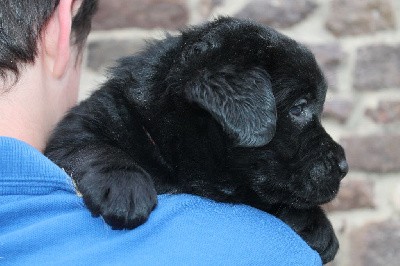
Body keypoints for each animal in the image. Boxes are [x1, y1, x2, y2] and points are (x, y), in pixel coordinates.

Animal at [46, 17, 346, 264]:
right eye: (299, 108)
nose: (344, 167)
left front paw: (316, 222)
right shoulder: (88, 119)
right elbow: (91, 145)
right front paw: (124, 186)